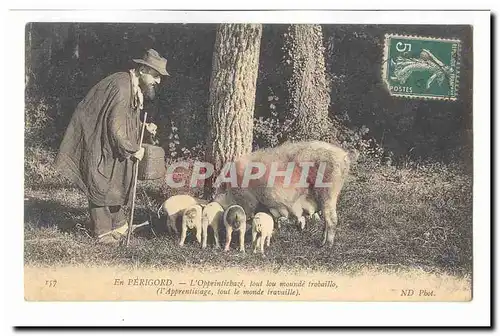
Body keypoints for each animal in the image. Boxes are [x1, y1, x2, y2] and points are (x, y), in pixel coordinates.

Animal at [214, 139, 352, 247]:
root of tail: (343, 156)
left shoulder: (251, 201)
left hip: (328, 192)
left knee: (332, 219)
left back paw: (328, 245)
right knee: (326, 221)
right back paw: (322, 242)